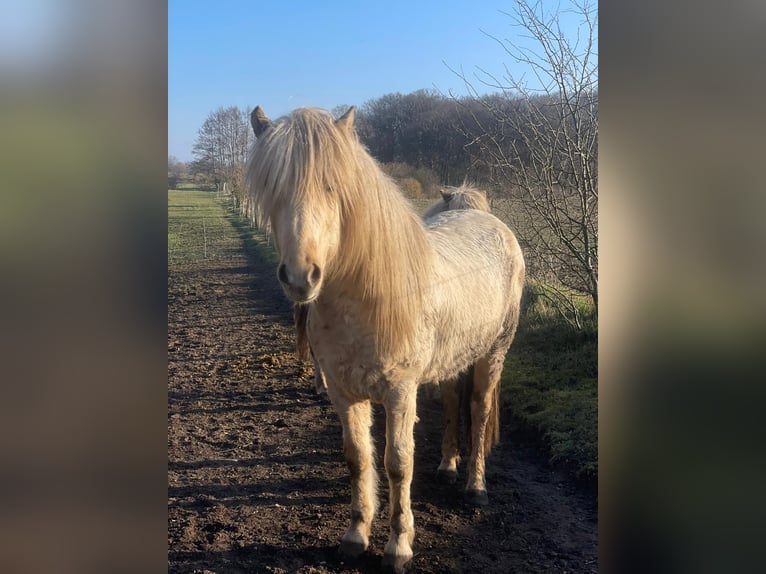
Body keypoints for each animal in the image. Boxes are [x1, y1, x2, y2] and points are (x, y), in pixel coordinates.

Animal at [246, 106, 525, 572]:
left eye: (333, 186)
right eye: (272, 187)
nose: (301, 277)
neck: (366, 300)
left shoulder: (399, 392)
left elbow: (398, 463)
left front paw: (399, 545)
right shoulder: (343, 392)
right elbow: (358, 458)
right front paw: (356, 536)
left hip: (493, 354)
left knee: (479, 410)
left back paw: (475, 488)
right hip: (453, 360)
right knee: (453, 402)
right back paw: (448, 465)